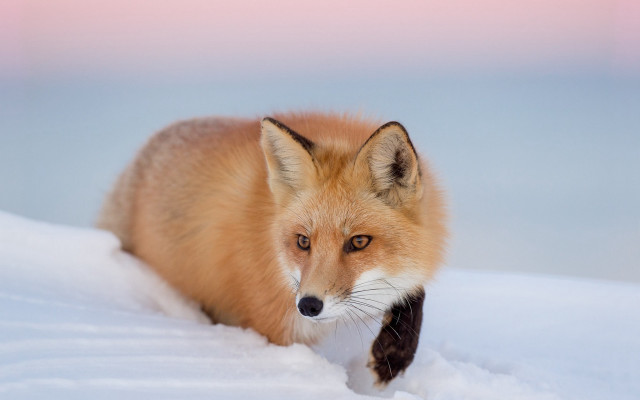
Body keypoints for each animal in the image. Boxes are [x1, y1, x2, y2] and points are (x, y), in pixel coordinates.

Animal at [97, 112, 446, 384]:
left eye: (358, 242)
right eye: (303, 242)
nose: (308, 305)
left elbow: (414, 291)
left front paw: (393, 356)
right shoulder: (275, 325)